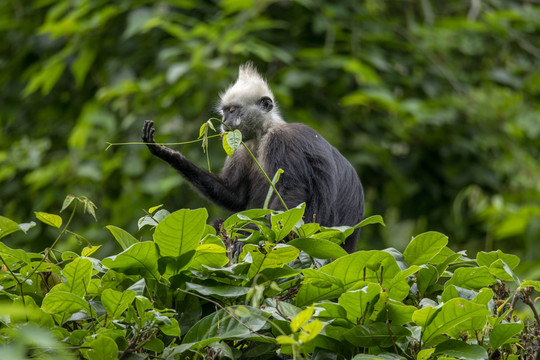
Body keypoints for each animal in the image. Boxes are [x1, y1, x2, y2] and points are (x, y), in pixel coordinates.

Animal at [141, 62, 364, 253]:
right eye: (224, 112)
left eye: (232, 110)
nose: (223, 122)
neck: (262, 134)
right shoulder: (241, 146)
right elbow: (235, 195)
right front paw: (167, 153)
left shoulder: (282, 141)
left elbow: (292, 195)